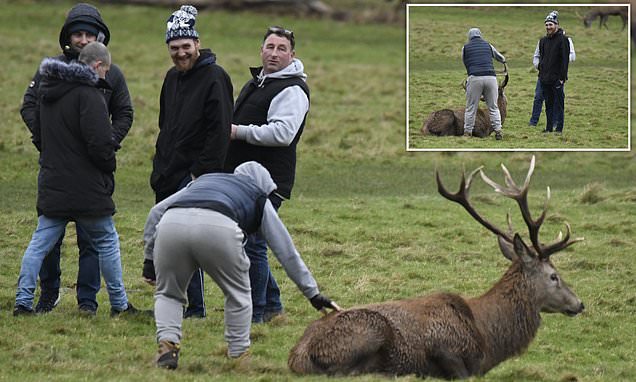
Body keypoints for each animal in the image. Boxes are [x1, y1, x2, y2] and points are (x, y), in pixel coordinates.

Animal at [290, 156, 584, 380]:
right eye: (554, 276)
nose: (579, 304)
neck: (488, 338)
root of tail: (297, 356)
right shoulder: (445, 349)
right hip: (369, 331)